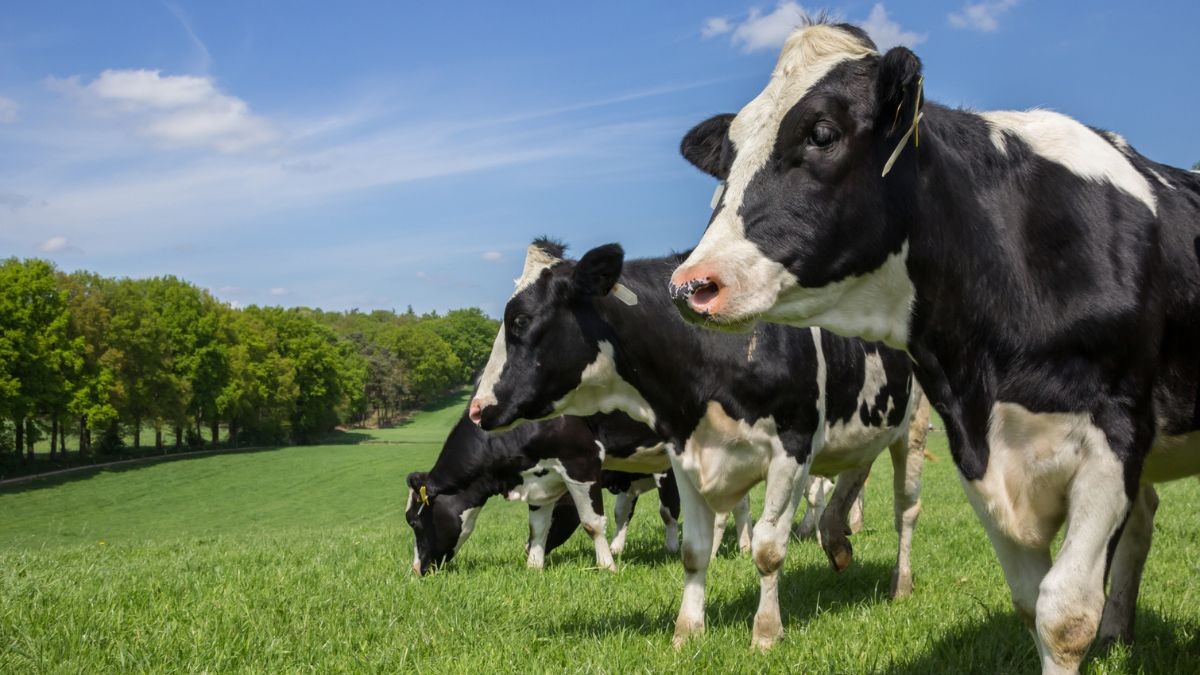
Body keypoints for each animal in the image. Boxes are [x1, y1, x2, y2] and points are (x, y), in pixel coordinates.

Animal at [463, 239, 921, 648]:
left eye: (521, 320)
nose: (477, 409)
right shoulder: (683, 454)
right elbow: (694, 550)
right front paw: (686, 633)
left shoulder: (792, 450)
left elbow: (768, 550)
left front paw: (765, 634)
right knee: (854, 477)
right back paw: (837, 544)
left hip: (912, 426)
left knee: (905, 511)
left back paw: (900, 584)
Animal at [667, 18, 1200, 667]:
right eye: (729, 154)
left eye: (822, 133)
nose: (692, 284)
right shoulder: (976, 449)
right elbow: (1032, 605)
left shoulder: (1113, 438)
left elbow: (1065, 616)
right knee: (1143, 519)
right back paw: (1119, 629)